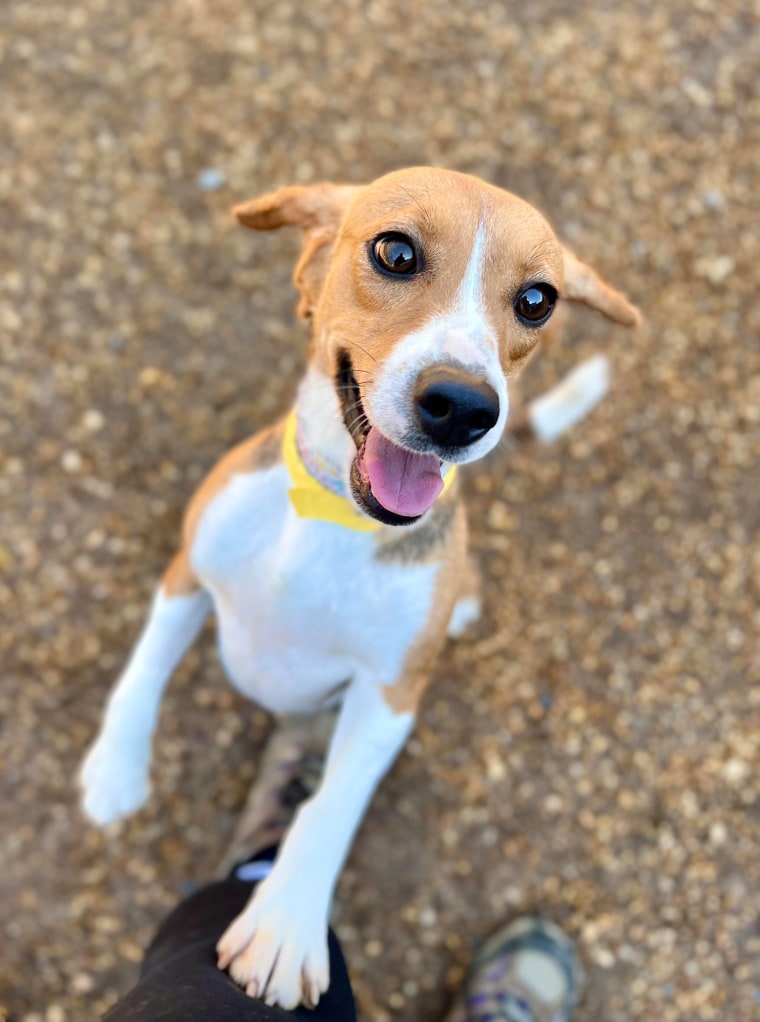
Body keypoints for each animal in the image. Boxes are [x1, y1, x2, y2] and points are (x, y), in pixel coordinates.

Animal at [80, 165, 637, 1005]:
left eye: (538, 299)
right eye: (395, 252)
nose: (464, 408)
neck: (330, 515)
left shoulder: (389, 697)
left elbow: (330, 807)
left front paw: (285, 923)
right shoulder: (187, 571)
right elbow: (142, 671)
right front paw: (116, 769)